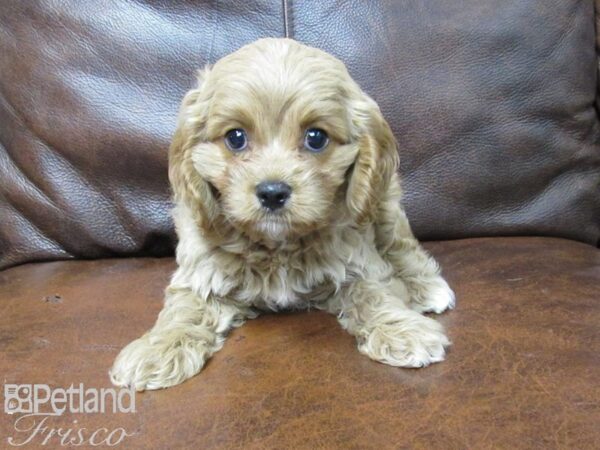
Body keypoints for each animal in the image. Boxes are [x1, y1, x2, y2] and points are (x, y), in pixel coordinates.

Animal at [109, 38, 454, 390]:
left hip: (383, 203)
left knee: (402, 246)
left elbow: (374, 292)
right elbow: (184, 308)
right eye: (236, 137)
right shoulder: (200, 271)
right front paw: (158, 349)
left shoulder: (358, 260)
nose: (272, 193)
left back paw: (427, 287)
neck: (277, 245)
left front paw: (403, 330)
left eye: (316, 137)